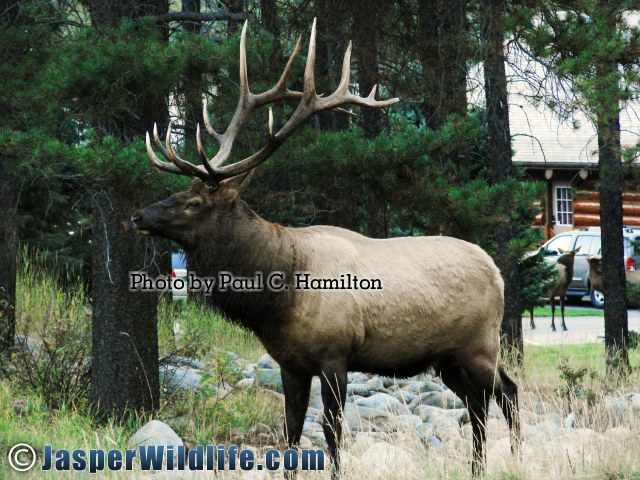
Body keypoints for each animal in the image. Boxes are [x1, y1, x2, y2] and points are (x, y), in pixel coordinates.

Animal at [130, 19, 520, 476]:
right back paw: (487, 464)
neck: (278, 297)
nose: (138, 215)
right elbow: (291, 432)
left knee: (501, 395)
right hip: (447, 358)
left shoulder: (336, 355)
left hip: (480, 343)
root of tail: (497, 272)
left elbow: (333, 432)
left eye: (194, 202)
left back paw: (507, 459)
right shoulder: (289, 363)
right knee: (486, 400)